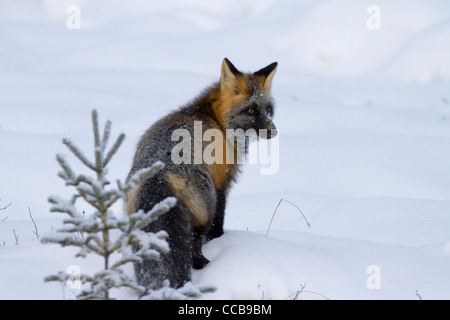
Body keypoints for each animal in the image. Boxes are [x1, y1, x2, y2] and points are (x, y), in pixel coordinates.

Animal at [124, 57, 278, 290]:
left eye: (268, 109)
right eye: (251, 111)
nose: (273, 131)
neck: (216, 119)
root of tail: (159, 175)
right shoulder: (222, 183)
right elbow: (219, 224)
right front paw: (221, 239)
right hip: (205, 208)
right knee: (194, 249)